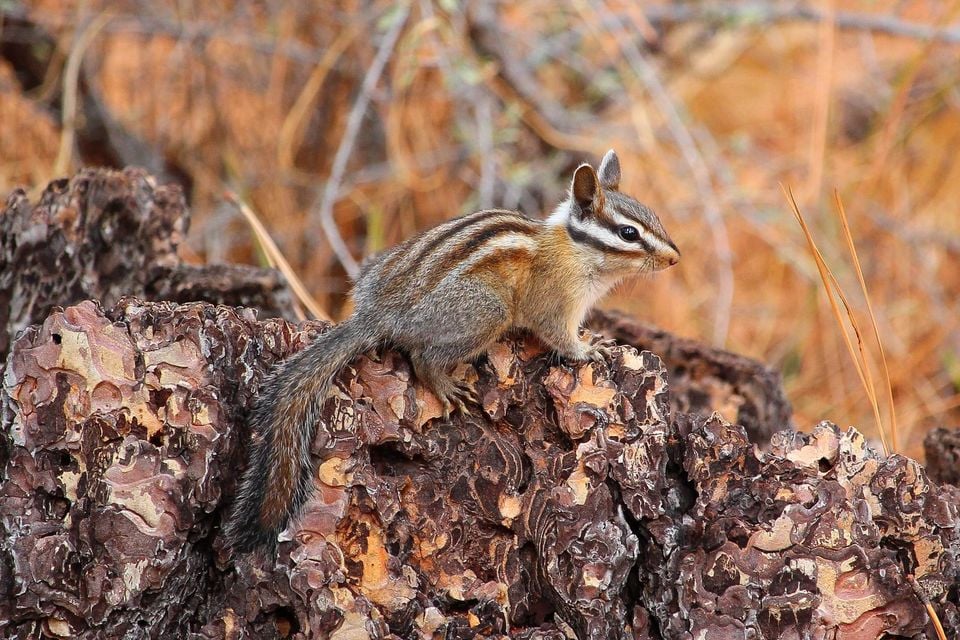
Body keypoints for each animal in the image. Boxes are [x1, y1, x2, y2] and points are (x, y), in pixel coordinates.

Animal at [224, 150, 680, 553]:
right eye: (628, 233)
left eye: (653, 217)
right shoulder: (553, 302)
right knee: (423, 356)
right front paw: (588, 349)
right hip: (487, 311)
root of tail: (377, 314)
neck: (574, 251)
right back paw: (444, 384)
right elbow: (558, 336)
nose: (675, 258)